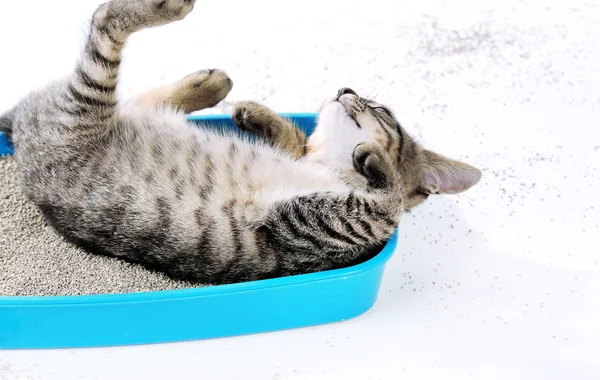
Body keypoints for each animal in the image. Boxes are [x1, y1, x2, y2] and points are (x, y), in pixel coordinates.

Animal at [0, 0, 480, 284]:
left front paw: (374, 159)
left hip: (84, 106)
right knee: (125, 72)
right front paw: (260, 117)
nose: (345, 89)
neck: (328, 168)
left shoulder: (305, 229)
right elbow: (299, 141)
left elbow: (388, 204)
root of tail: (21, 134)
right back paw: (211, 84)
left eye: (383, 110)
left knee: (105, 26)